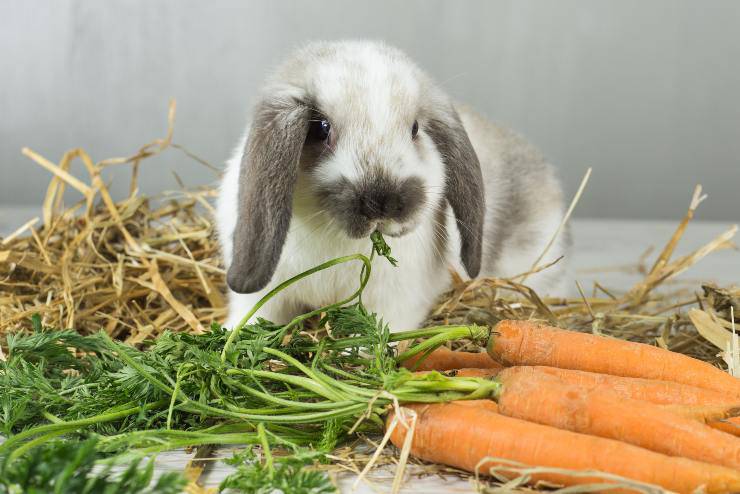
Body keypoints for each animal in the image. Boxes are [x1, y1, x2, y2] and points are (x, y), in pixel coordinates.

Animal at [217, 40, 569, 332]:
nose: (381, 203)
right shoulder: (267, 297)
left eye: (415, 129)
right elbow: (254, 319)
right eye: (320, 128)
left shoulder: (396, 303)